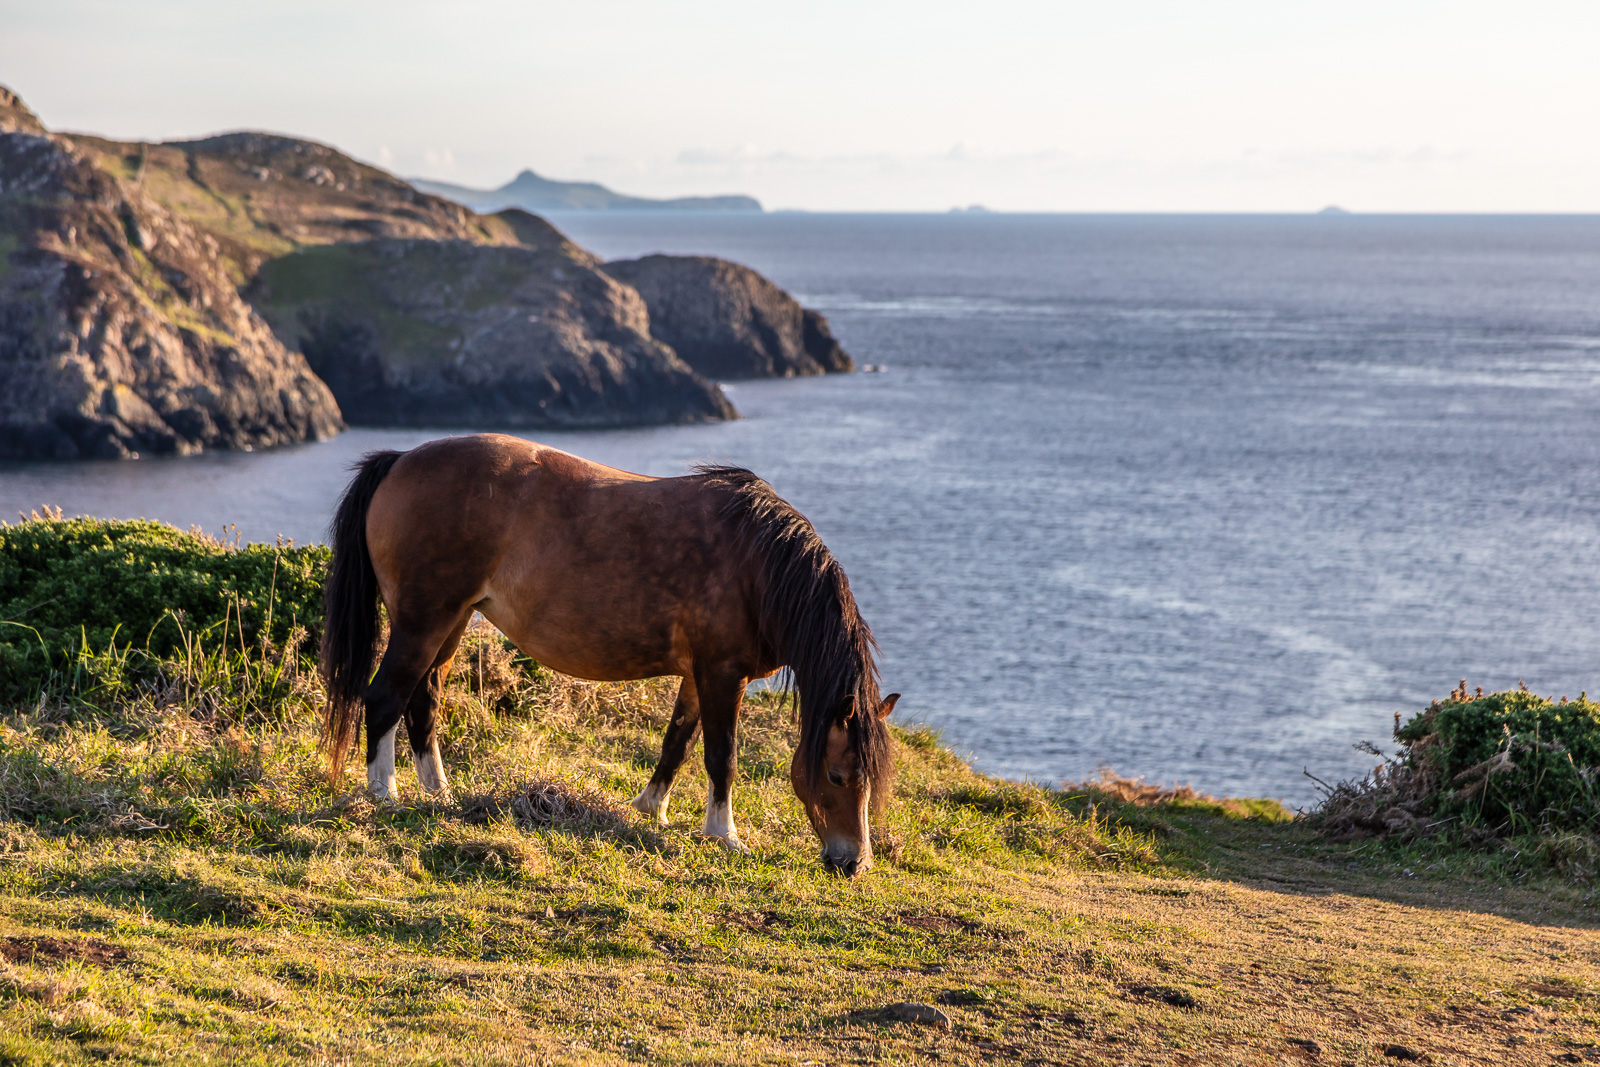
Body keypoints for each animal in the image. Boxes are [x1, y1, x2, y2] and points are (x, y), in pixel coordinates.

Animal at [318, 435, 896, 876]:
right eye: (838, 776)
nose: (854, 863)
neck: (758, 564)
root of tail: (400, 460)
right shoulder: (722, 673)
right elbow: (721, 756)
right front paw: (723, 835)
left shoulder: (697, 675)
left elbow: (676, 743)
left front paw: (651, 809)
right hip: (423, 623)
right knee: (385, 698)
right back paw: (384, 794)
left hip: (451, 624)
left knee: (424, 703)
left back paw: (438, 793)